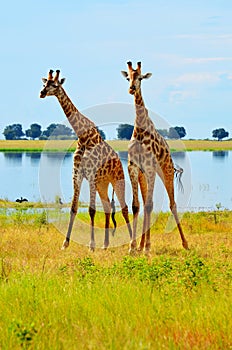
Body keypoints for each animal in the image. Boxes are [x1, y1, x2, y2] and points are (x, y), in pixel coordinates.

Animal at [40, 69, 132, 249]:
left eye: (55, 85)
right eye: (44, 83)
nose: (41, 93)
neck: (83, 138)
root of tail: (119, 161)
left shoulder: (91, 175)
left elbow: (91, 210)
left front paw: (91, 245)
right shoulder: (77, 174)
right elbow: (74, 208)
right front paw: (65, 243)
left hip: (117, 179)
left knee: (124, 208)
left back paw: (133, 242)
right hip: (102, 184)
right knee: (107, 207)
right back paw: (106, 244)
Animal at [121, 61, 188, 253]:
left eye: (140, 78)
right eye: (128, 78)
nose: (131, 88)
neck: (140, 129)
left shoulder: (150, 167)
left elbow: (150, 205)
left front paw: (147, 247)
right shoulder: (134, 167)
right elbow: (137, 205)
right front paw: (133, 247)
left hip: (165, 170)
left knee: (172, 204)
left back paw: (185, 244)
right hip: (145, 174)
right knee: (145, 203)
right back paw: (141, 244)